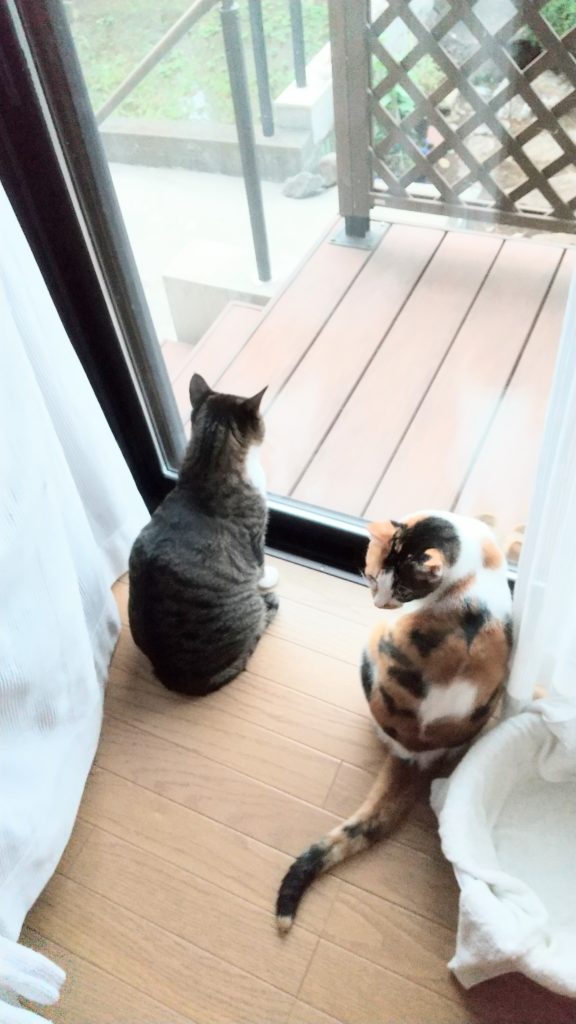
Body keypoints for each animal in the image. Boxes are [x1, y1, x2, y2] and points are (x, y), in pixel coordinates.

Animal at [128, 373, 278, 696]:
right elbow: (261, 565)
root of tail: (171, 674)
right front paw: (270, 577)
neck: (207, 463)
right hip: (251, 609)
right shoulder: (256, 534)